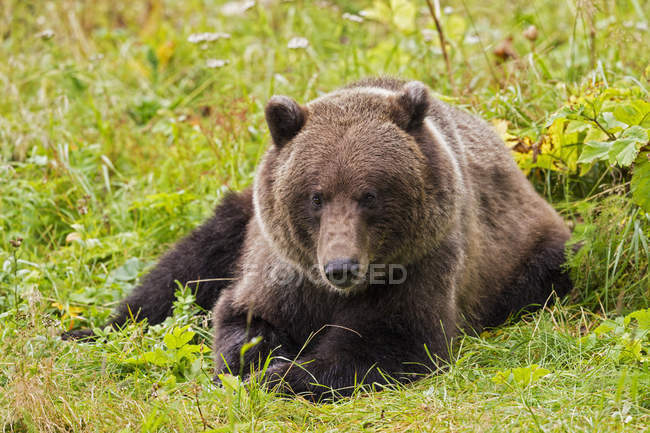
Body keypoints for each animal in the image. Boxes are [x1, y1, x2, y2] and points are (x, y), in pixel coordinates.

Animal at [63, 77, 568, 398]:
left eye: (370, 194)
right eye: (316, 196)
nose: (340, 267)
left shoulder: (423, 267)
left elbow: (388, 343)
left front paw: (285, 375)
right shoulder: (281, 268)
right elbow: (242, 320)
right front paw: (258, 365)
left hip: (530, 255)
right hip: (239, 220)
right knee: (181, 270)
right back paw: (88, 329)